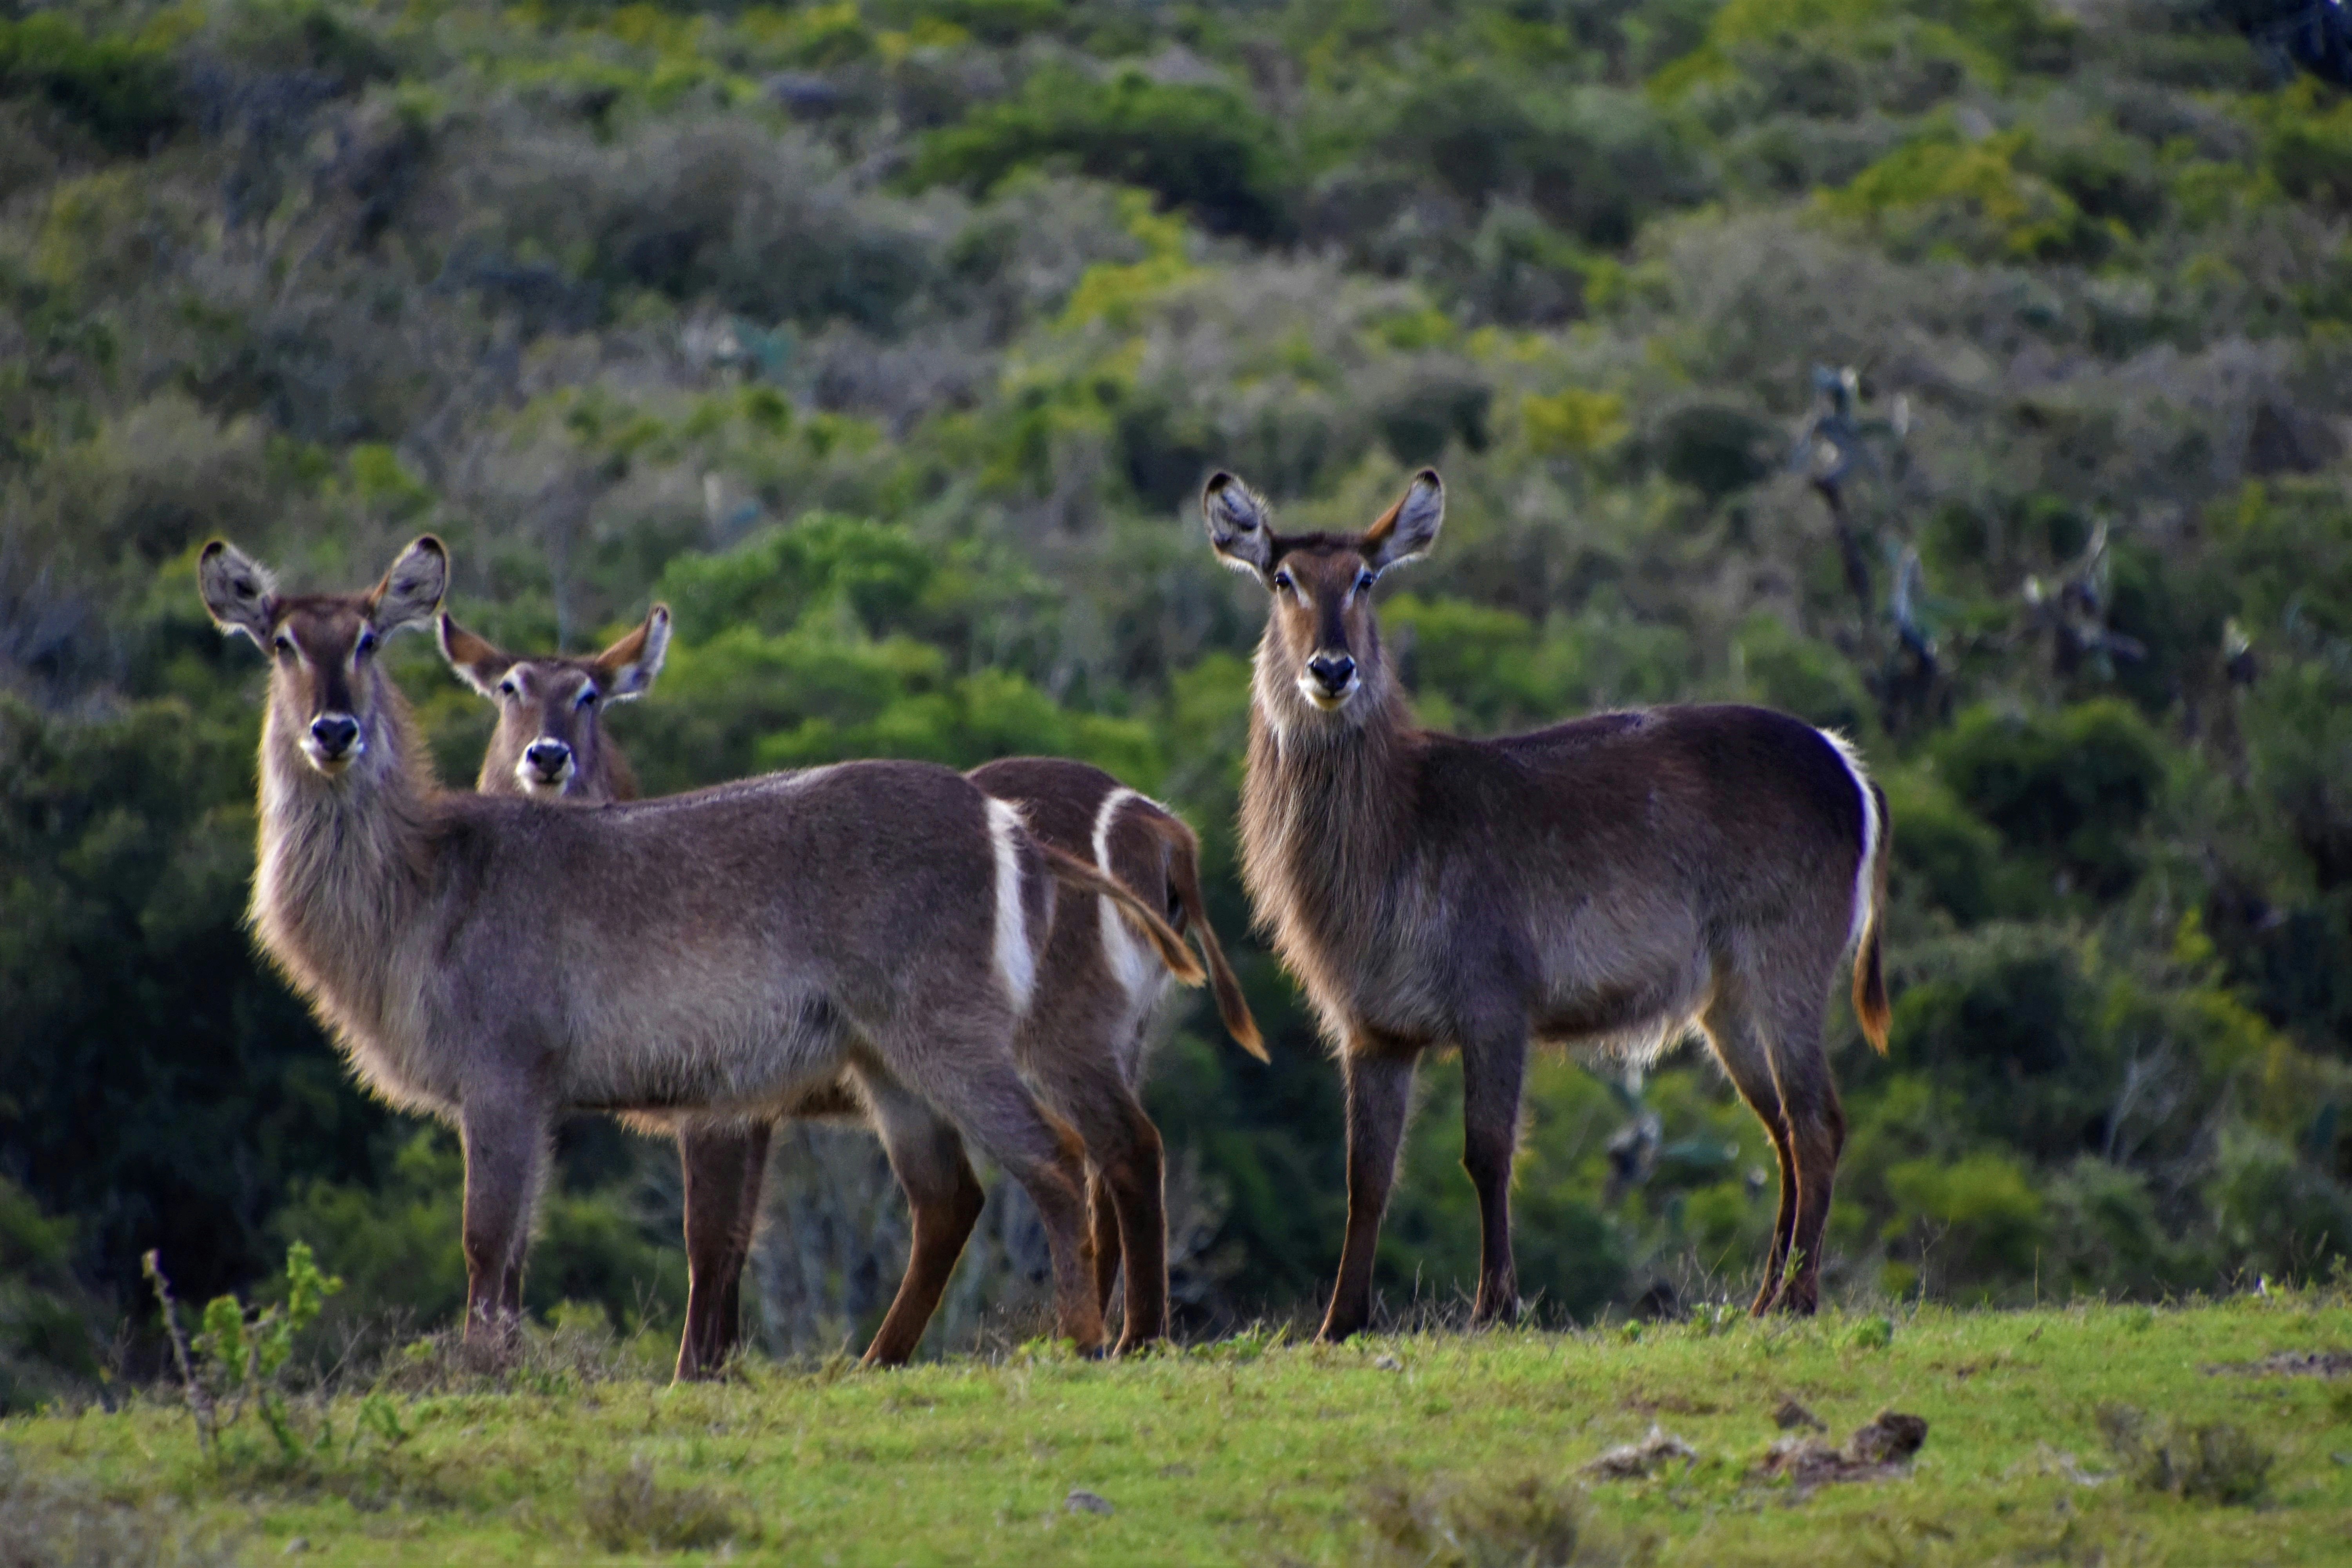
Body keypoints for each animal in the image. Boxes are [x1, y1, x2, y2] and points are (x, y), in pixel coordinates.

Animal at [197, 535, 1205, 1369]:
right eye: (281, 642)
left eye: (369, 640)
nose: (333, 730)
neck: (425, 882)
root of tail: (1009, 824)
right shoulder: (573, 1096)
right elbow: (525, 1251)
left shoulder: (508, 1074)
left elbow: (492, 1243)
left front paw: (483, 1375)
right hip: (888, 1067)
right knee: (955, 1194)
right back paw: (882, 1358)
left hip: (958, 1035)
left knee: (1062, 1155)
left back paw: (1087, 1339)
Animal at [1201, 468, 1892, 1342]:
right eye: (1283, 579)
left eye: (1365, 579)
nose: (1332, 669)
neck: (1395, 830)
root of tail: (1848, 766)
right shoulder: (1372, 1029)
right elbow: (1366, 1175)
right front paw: (1339, 1322)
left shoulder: (1496, 1000)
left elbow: (1488, 1152)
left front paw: (1495, 1305)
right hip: (1726, 999)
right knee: (1782, 1132)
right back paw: (1766, 1298)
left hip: (1787, 963)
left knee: (1818, 1121)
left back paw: (1798, 1299)